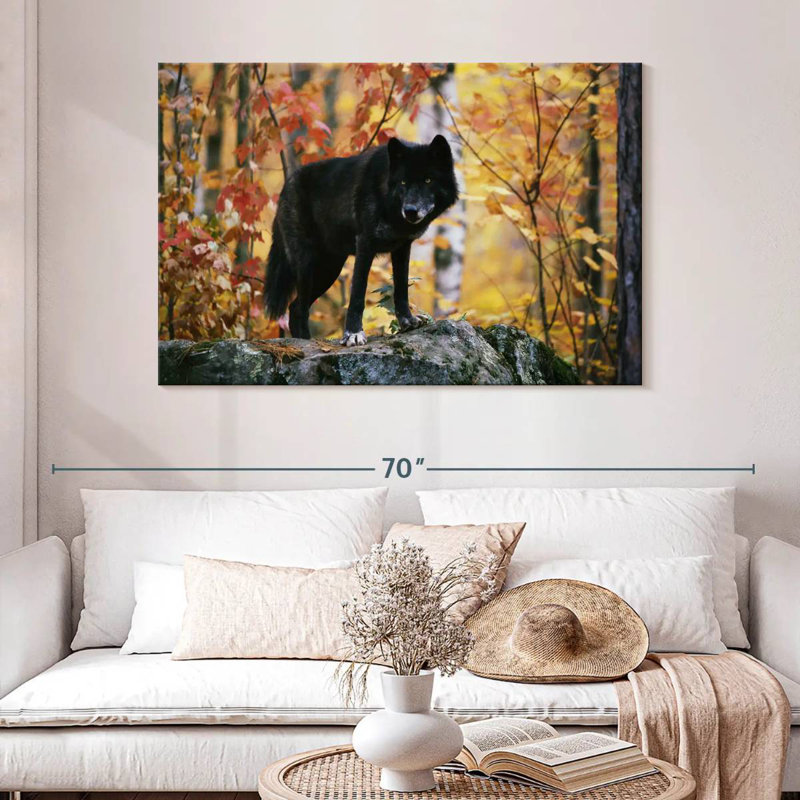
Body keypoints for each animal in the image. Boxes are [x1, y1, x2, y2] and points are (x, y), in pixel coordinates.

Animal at [264, 135, 458, 346]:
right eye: (404, 182)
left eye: (428, 180)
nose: (410, 211)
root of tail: (286, 186)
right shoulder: (365, 244)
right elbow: (357, 294)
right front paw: (353, 334)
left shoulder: (402, 248)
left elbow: (401, 288)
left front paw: (407, 321)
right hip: (307, 265)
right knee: (299, 308)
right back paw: (306, 342)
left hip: (329, 270)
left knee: (295, 306)